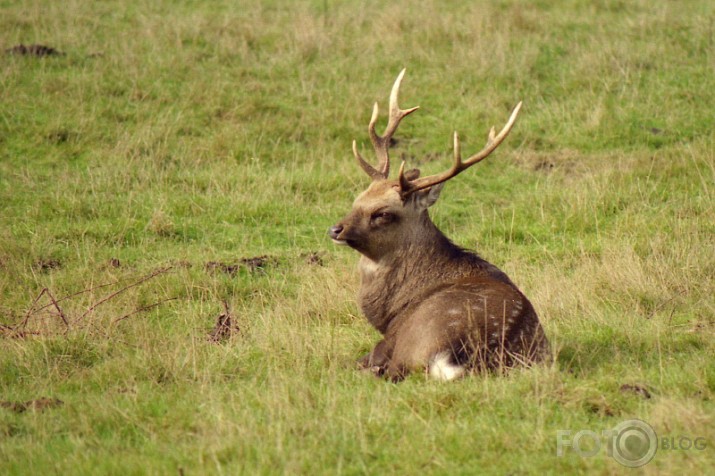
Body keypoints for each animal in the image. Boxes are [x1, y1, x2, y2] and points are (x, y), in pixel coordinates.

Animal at [328, 71, 552, 384]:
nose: (336, 230)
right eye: (358, 199)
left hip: (416, 337)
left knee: (390, 372)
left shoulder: (389, 338)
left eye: (382, 213)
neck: (389, 311)